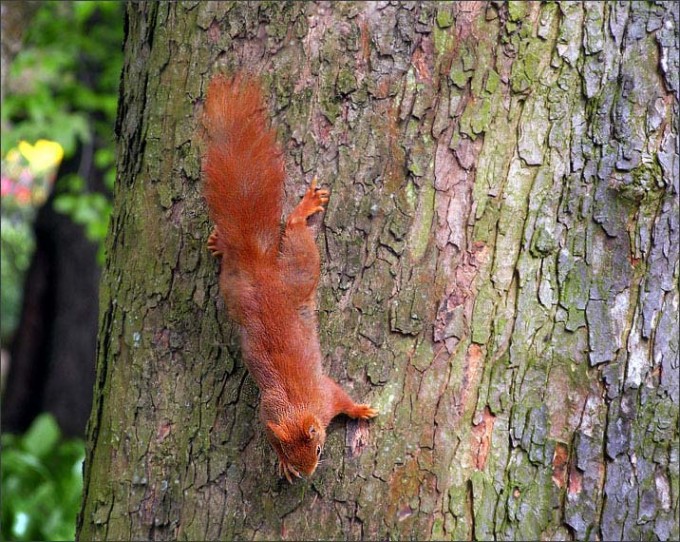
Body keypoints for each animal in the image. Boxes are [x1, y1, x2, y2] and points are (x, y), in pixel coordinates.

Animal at [201, 74, 378, 482]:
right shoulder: (271, 414)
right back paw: (221, 242)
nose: (309, 472)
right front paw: (281, 464)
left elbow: (343, 400)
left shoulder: (325, 396)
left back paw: (301, 210)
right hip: (235, 288)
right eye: (290, 450)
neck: (297, 406)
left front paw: (360, 410)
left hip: (298, 269)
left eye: (318, 447)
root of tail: (260, 268)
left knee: (296, 231)